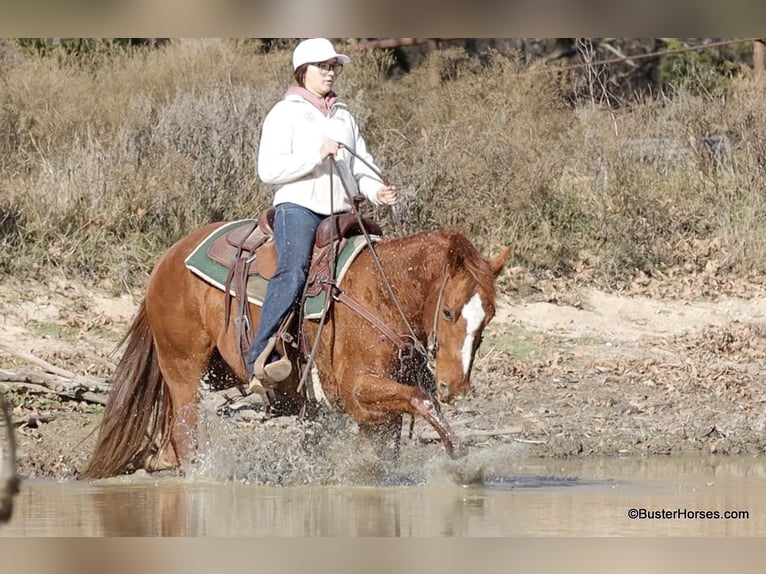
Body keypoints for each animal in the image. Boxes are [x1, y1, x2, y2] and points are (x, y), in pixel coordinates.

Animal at [81, 220, 510, 479]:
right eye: (449, 312)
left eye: (488, 317)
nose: (456, 386)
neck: (382, 293)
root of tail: (167, 260)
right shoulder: (356, 390)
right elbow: (422, 400)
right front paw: (460, 460)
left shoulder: (378, 413)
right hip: (184, 366)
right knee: (185, 426)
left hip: (215, 372)